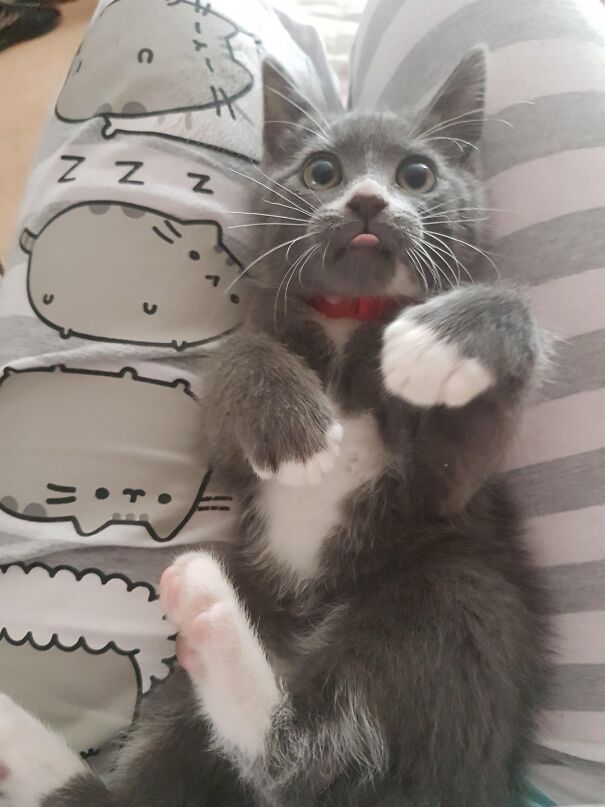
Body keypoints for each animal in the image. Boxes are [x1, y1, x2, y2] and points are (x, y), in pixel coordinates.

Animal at [9, 50, 548, 807]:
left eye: (416, 174)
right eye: (322, 170)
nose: (366, 201)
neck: (350, 318)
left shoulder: (448, 494)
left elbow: (465, 440)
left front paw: (442, 340)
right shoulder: (231, 432)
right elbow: (236, 359)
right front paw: (291, 427)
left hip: (458, 591)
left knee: (301, 763)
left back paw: (206, 615)